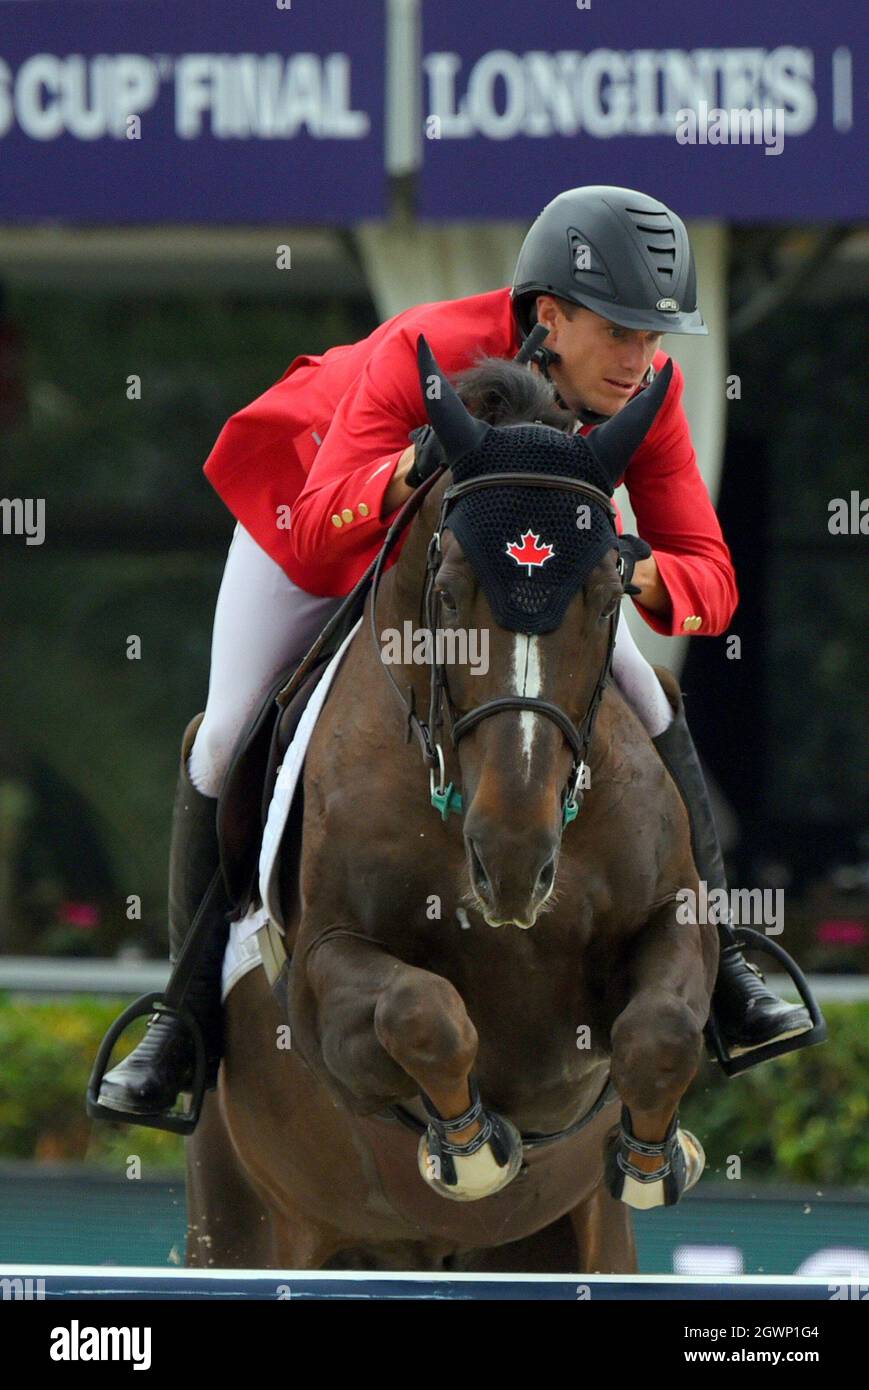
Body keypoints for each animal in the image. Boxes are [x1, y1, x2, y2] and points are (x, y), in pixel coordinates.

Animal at [186, 339, 717, 1273]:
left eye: (608, 597)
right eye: (445, 594)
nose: (511, 865)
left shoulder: (672, 921)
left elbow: (661, 1033)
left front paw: (655, 1158)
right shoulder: (323, 983)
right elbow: (421, 1013)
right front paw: (469, 1152)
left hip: (579, 1243)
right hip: (245, 1225)